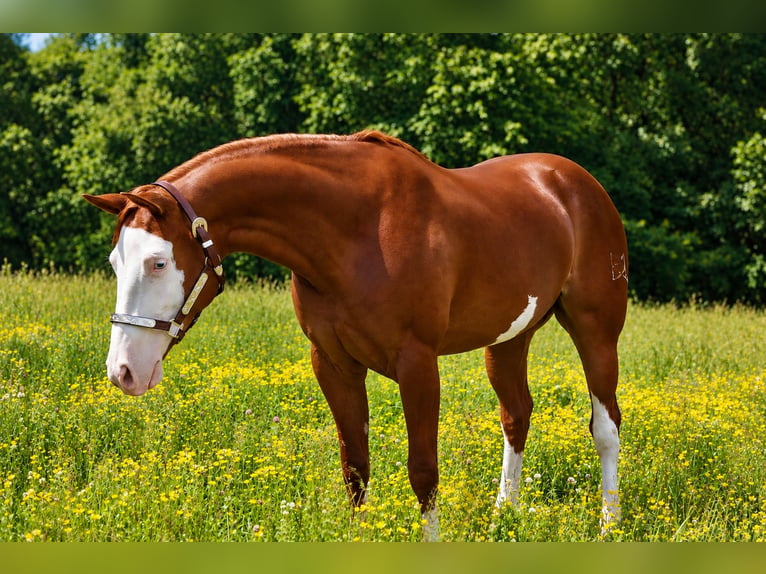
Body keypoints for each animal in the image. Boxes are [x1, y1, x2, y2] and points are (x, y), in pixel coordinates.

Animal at [84, 130, 628, 541]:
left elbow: (423, 471)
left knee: (605, 427)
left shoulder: (417, 364)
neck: (357, 228)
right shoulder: (333, 363)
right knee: (515, 416)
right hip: (510, 339)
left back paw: (609, 526)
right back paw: (503, 517)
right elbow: (355, 468)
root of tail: (576, 182)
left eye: (158, 262)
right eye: (115, 261)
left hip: (596, 331)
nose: (123, 371)